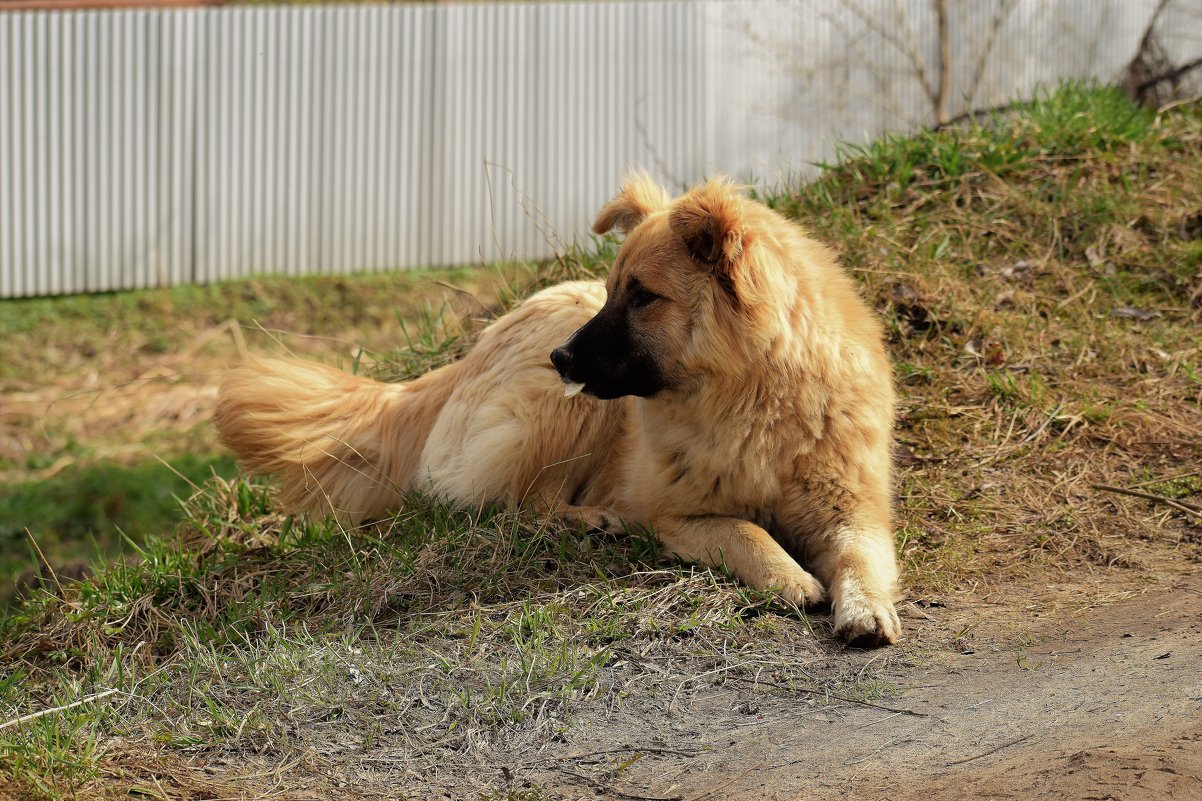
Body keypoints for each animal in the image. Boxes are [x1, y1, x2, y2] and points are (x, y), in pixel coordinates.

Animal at [213, 174, 903, 644]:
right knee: (521, 504)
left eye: (642, 296)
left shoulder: (853, 510)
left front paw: (866, 608)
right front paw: (791, 577)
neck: (751, 399)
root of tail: (466, 358)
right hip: (571, 413)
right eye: (613, 290)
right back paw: (590, 520)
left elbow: (862, 557)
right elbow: (745, 531)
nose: (562, 358)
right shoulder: (676, 516)